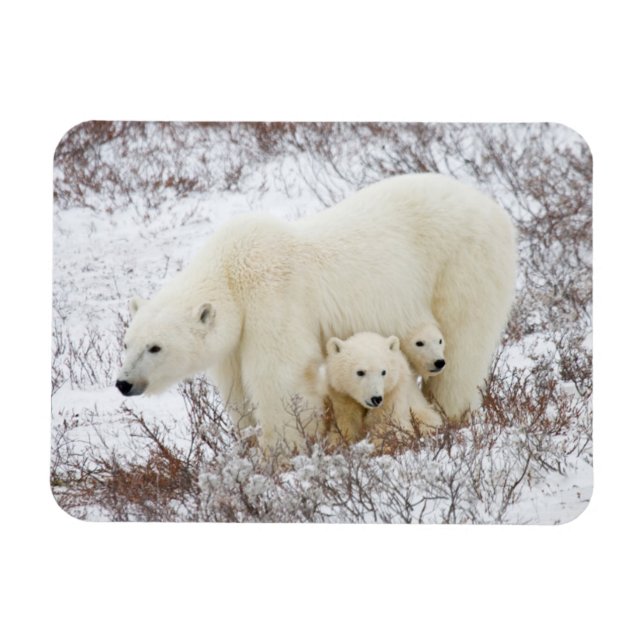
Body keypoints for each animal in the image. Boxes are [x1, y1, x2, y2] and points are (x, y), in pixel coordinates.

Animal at [116, 173, 516, 451]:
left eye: (155, 347)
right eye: (127, 343)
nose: (124, 383)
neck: (231, 274)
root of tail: (495, 209)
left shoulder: (273, 299)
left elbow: (280, 378)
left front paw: (282, 454)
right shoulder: (234, 340)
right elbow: (237, 390)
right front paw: (248, 444)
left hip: (462, 265)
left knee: (462, 347)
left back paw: (453, 414)